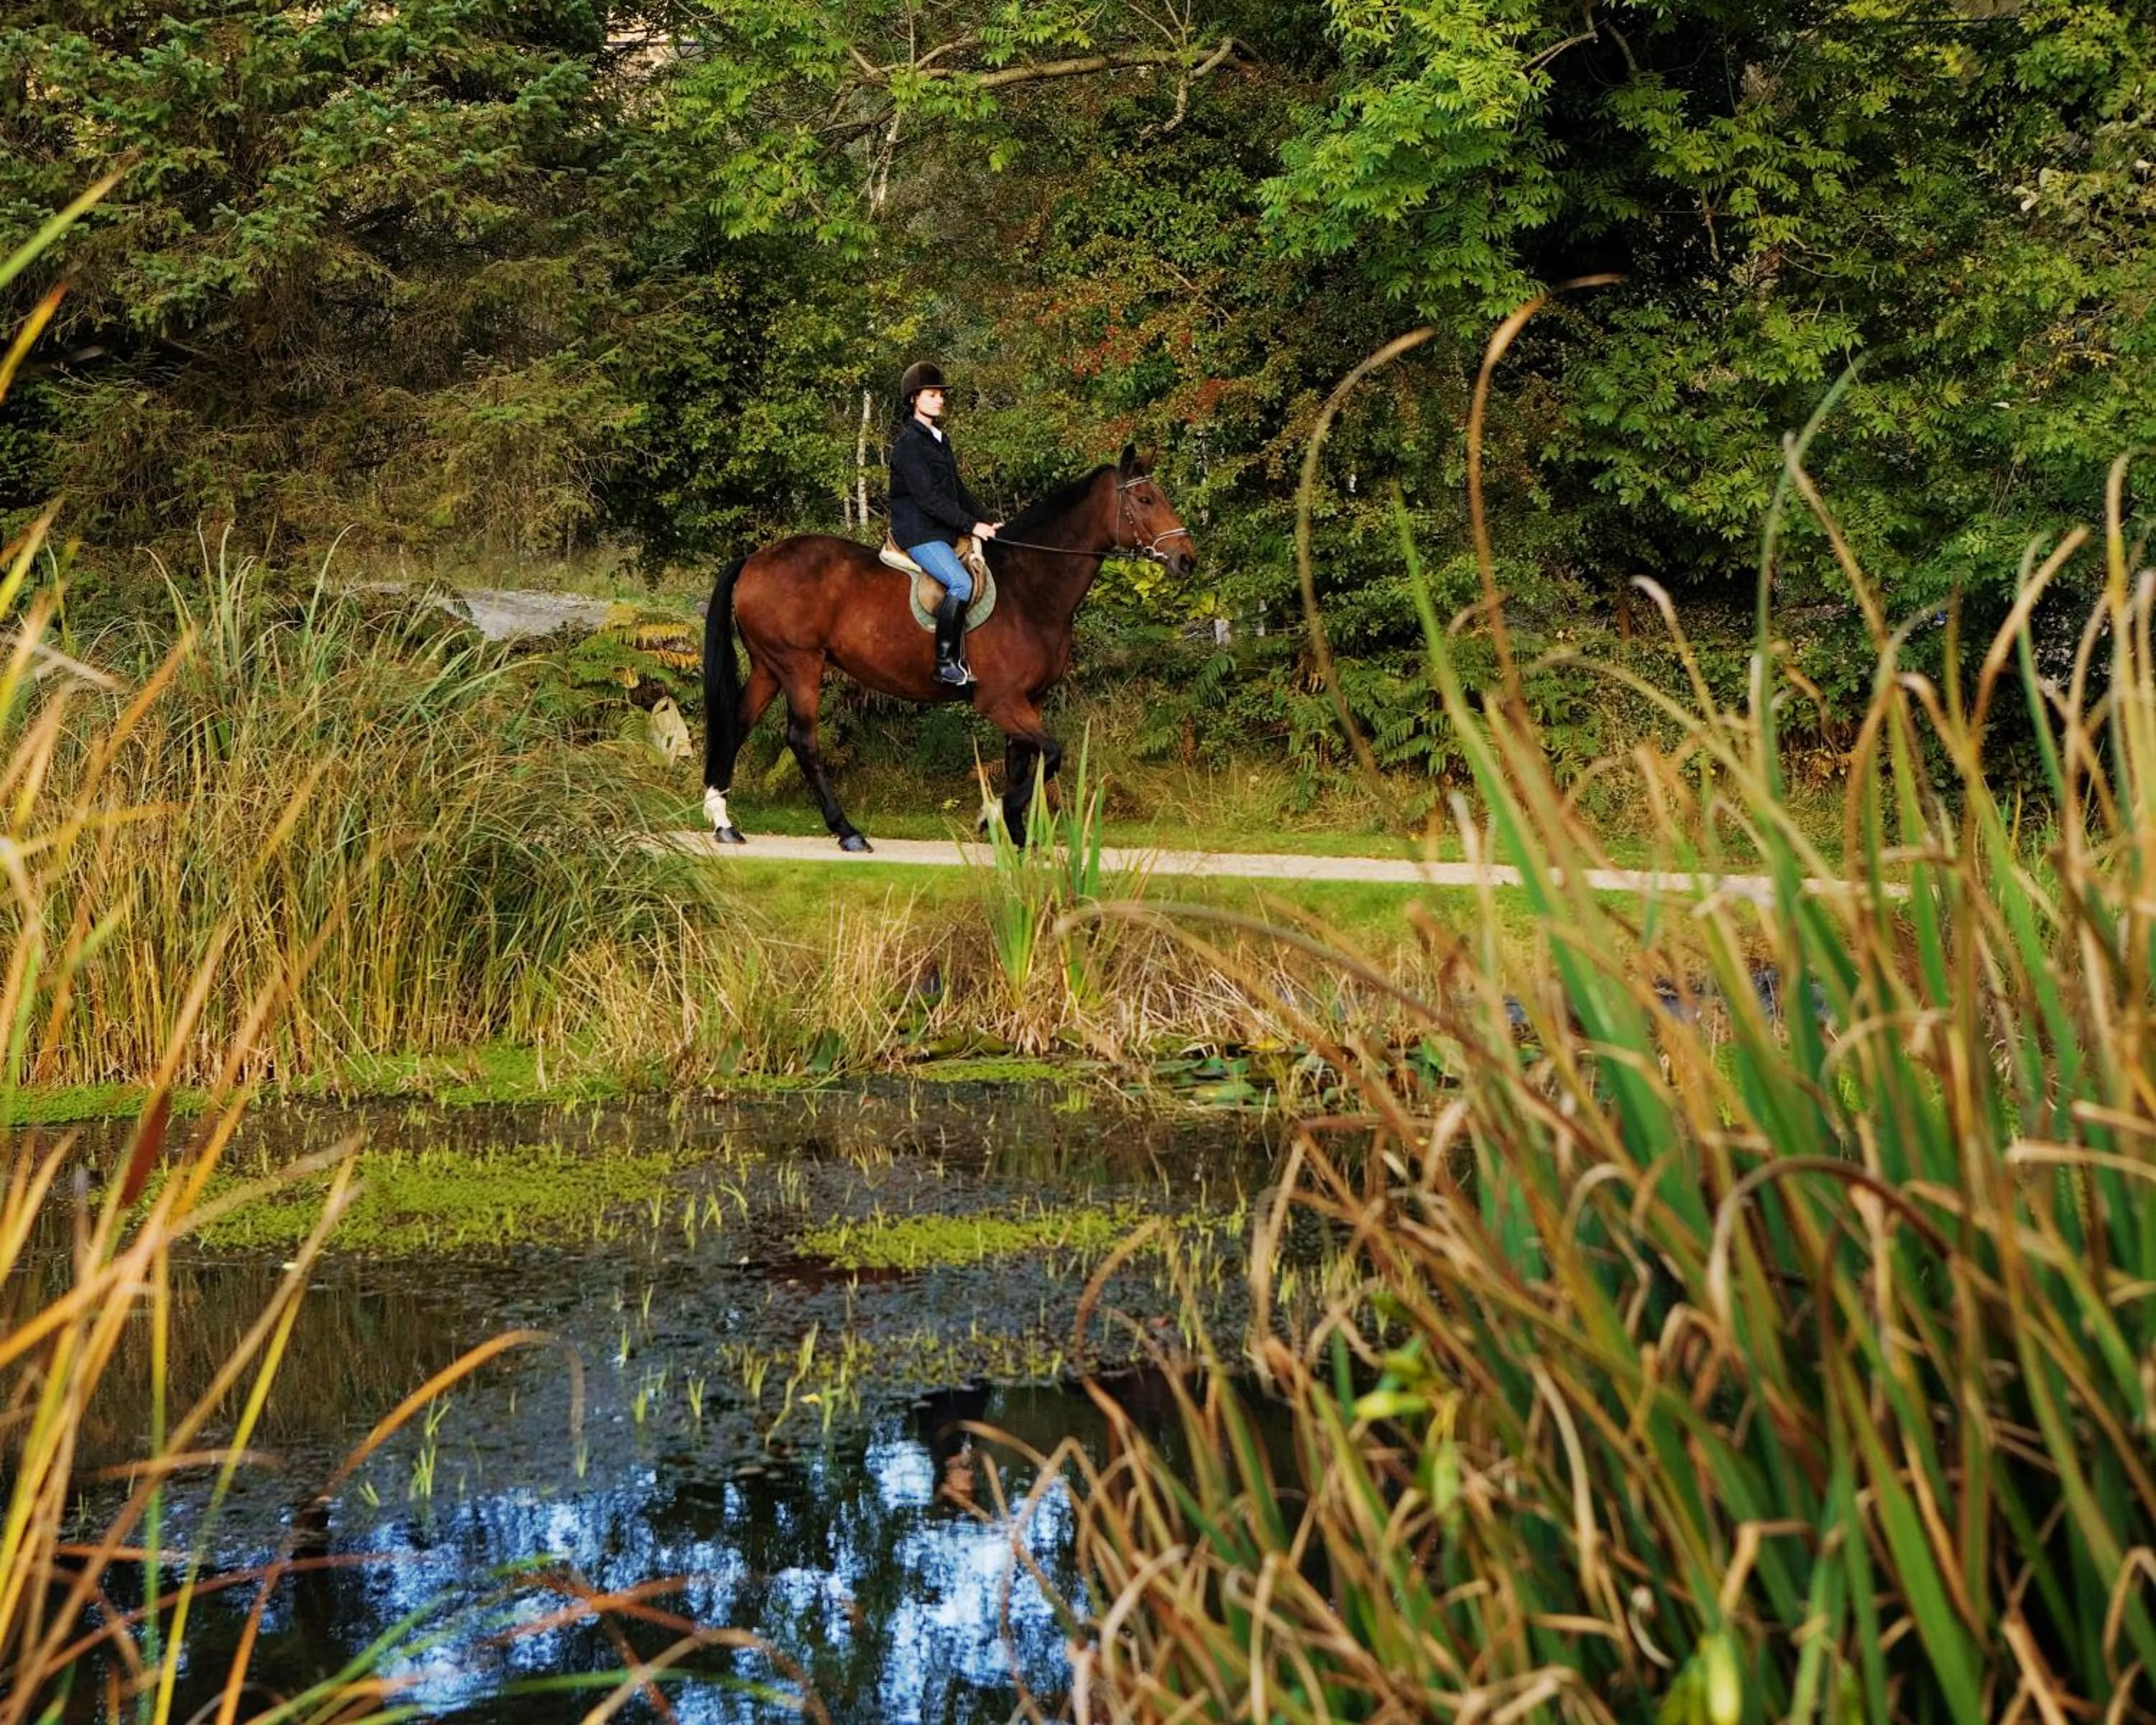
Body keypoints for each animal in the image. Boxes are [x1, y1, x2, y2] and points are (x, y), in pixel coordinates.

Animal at [700, 444, 1195, 851]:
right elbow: (1051, 753)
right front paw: (992, 816)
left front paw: (1016, 835)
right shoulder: (999, 700)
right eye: (1146, 500)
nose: (1186, 559)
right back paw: (847, 831)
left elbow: (1023, 761)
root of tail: (755, 559)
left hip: (770, 667)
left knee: (738, 723)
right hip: (800, 666)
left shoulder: (1028, 699)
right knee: (802, 741)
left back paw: (723, 821)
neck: (1029, 586)